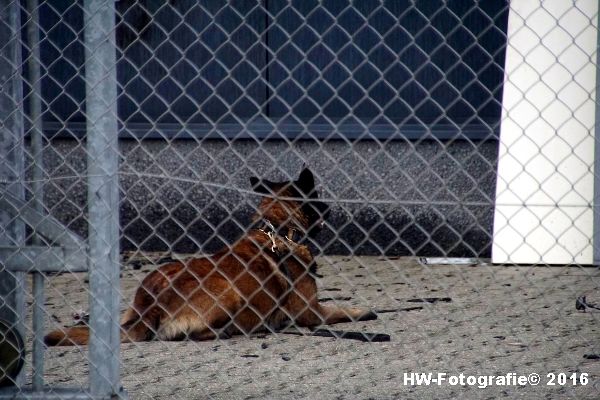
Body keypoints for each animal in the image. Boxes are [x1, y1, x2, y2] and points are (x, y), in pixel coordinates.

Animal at [45, 167, 376, 346]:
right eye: (317, 196)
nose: (330, 208)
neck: (278, 230)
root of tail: (150, 306)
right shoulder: (311, 312)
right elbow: (340, 311)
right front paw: (363, 311)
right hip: (228, 293)